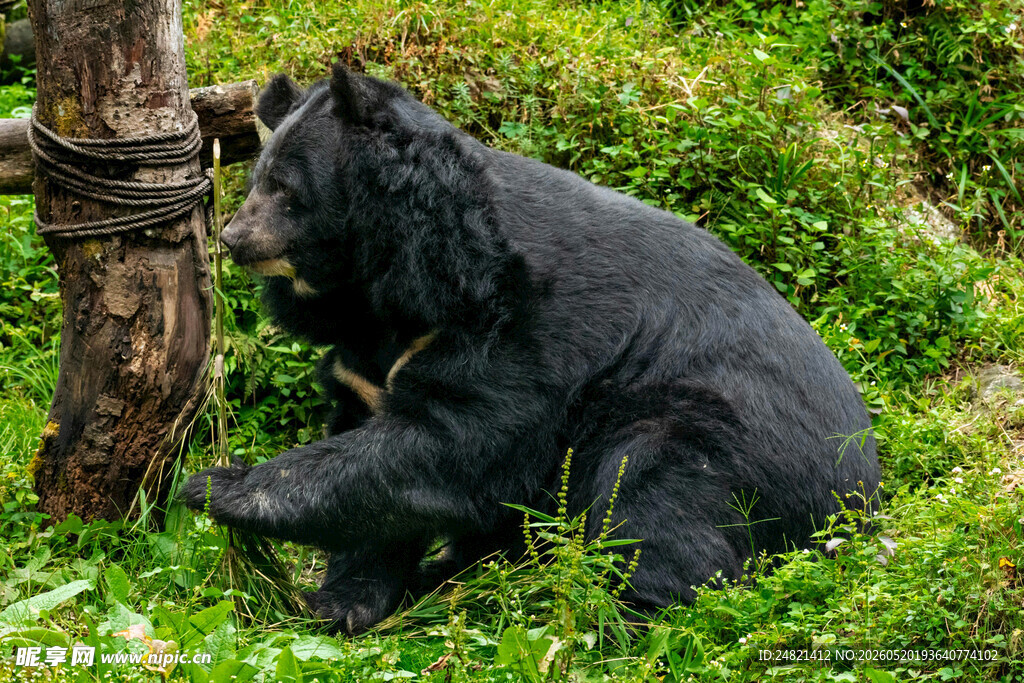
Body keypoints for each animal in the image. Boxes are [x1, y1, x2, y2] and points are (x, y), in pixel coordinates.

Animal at [182, 62, 880, 635]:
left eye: (286, 189)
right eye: (256, 178)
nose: (232, 239)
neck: (398, 276)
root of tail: (863, 503)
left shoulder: (524, 329)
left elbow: (450, 446)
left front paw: (219, 485)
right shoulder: (368, 361)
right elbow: (377, 455)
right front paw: (341, 602)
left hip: (718, 441)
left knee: (656, 507)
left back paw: (613, 613)